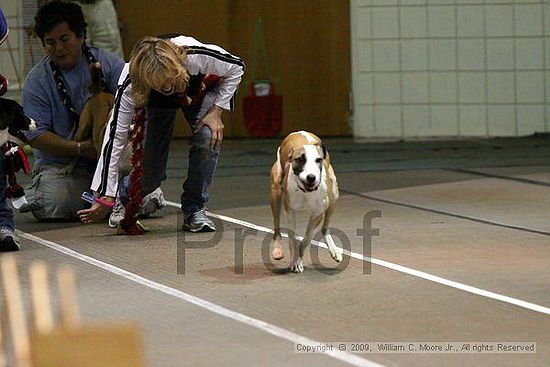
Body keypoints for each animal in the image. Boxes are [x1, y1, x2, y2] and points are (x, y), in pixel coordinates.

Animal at [270, 130, 342, 274]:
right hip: (275, 191)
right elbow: (293, 238)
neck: (306, 192)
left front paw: (298, 257)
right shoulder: (289, 211)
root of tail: (299, 132)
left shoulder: (317, 214)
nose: (311, 177)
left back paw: (333, 249)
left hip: (334, 191)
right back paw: (277, 250)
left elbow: (307, 239)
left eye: (318, 160)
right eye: (300, 159)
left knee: (325, 229)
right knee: (277, 227)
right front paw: (295, 261)